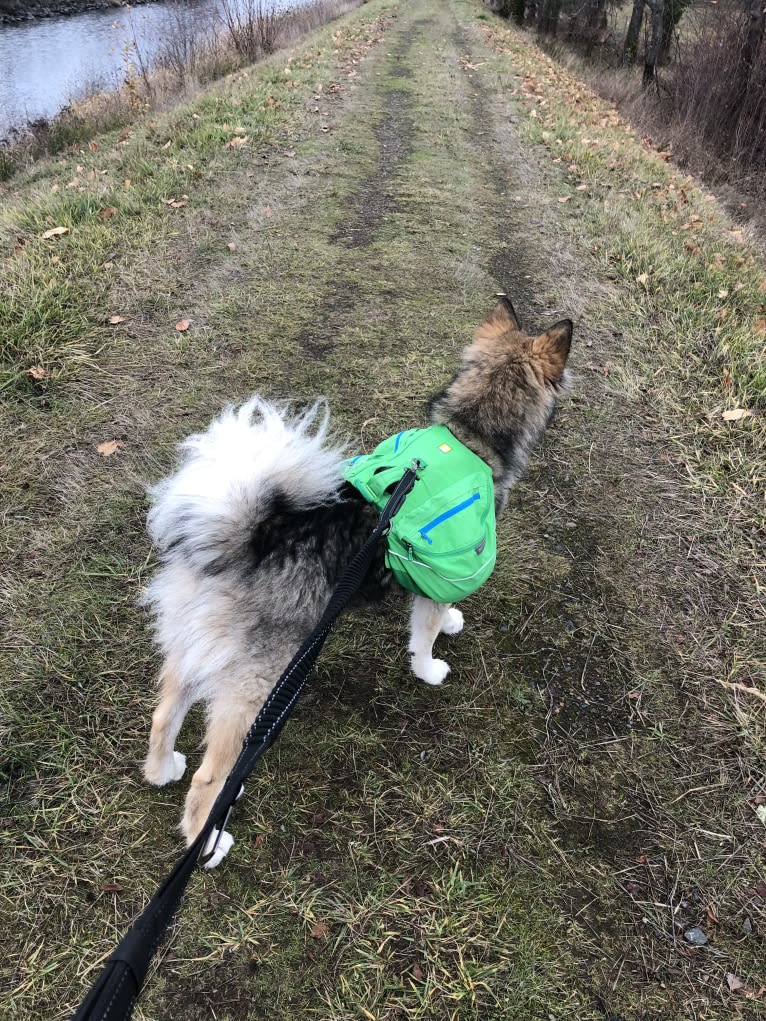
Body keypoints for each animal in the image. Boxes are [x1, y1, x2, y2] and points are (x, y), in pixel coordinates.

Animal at [144, 298, 571, 865]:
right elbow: (424, 633)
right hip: (254, 684)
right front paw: (429, 668)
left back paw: (161, 769)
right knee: (210, 778)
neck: (471, 437)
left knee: (164, 712)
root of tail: (247, 539)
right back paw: (207, 844)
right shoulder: (442, 574)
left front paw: (450, 626)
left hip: (194, 647)